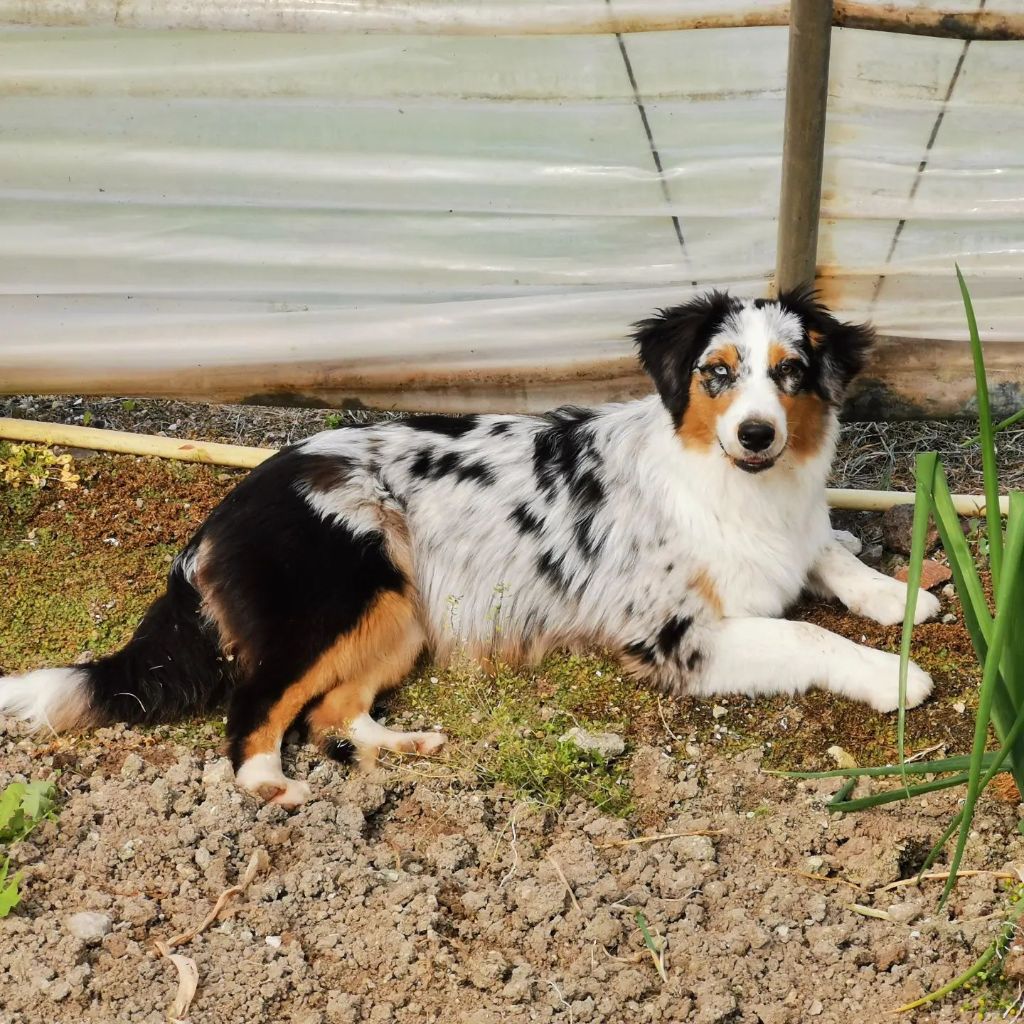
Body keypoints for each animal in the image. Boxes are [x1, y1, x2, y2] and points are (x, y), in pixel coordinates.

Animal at [0, 290, 937, 806]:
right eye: (718, 372)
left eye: (790, 372)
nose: (755, 434)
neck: (733, 484)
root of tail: (226, 507)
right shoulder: (678, 637)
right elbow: (806, 631)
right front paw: (894, 676)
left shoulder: (789, 532)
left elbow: (828, 547)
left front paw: (900, 594)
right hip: (335, 601)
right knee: (254, 710)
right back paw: (271, 786)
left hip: (401, 612)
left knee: (331, 712)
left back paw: (401, 746)